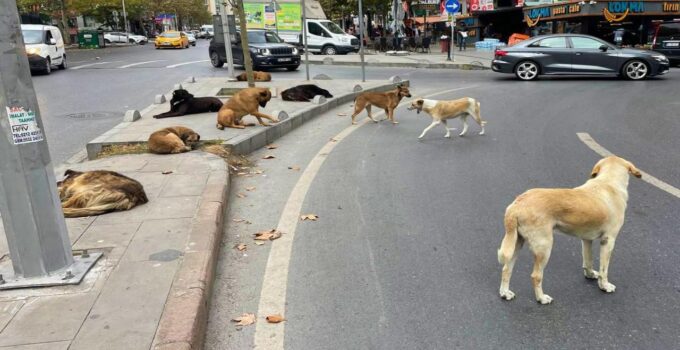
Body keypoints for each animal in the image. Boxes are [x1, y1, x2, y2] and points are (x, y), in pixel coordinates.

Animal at [496, 156, 640, 304]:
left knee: (506, 269)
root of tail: (516, 205)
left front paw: (590, 275)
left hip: (516, 243)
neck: (608, 182)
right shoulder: (608, 240)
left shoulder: (586, 239)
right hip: (544, 247)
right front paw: (604, 286)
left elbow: (588, 261)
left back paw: (505, 293)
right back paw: (541, 298)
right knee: (536, 276)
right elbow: (604, 269)